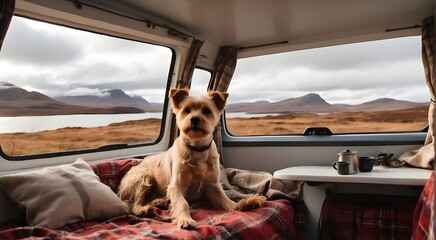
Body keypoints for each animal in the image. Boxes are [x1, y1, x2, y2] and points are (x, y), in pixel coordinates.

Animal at [116, 87, 266, 229]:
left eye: (206, 111)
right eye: (187, 110)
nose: (194, 119)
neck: (196, 147)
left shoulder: (212, 185)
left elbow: (225, 199)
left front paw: (243, 204)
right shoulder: (176, 186)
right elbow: (183, 203)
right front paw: (185, 219)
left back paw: (159, 201)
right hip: (143, 177)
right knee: (133, 204)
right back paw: (143, 210)